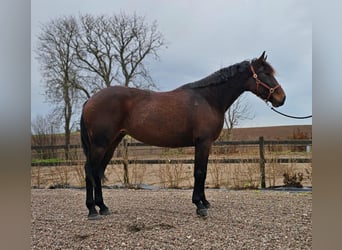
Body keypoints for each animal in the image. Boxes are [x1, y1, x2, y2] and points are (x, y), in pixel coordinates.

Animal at [80, 52, 286, 219]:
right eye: (265, 73)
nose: (282, 98)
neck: (208, 98)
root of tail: (90, 100)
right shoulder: (202, 143)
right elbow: (199, 172)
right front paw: (199, 206)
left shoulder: (206, 144)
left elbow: (203, 172)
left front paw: (205, 202)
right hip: (100, 144)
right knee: (90, 170)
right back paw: (92, 210)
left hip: (112, 142)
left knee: (98, 171)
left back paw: (103, 207)